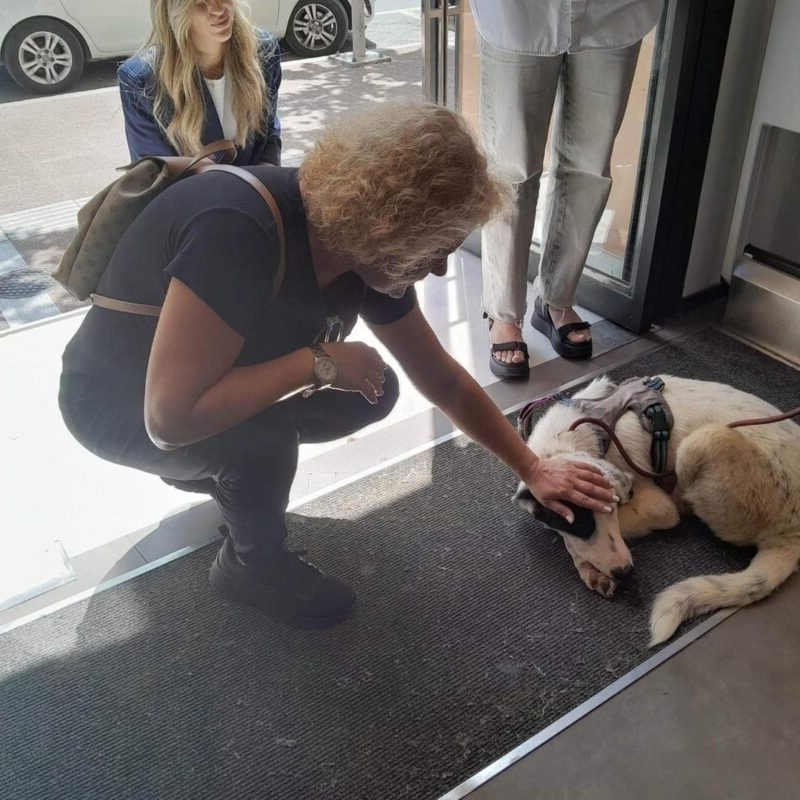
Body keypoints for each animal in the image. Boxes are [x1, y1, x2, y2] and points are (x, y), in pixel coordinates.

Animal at [512, 378, 800, 648]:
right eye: (581, 524)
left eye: (613, 509)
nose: (626, 573)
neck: (575, 433)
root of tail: (792, 533)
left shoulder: (655, 507)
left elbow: (571, 542)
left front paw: (588, 566)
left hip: (701, 442)